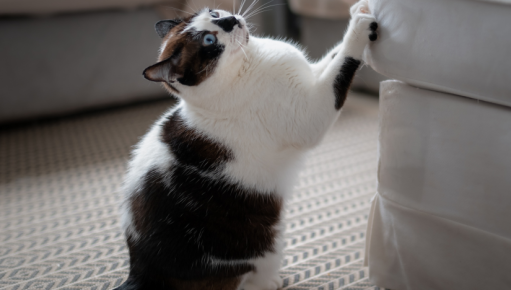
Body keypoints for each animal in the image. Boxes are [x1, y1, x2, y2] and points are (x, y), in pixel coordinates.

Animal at [116, 1, 378, 288]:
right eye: (209, 41)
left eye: (214, 14)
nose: (230, 20)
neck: (250, 60)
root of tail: (139, 270)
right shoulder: (310, 114)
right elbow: (342, 65)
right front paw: (359, 28)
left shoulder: (310, 75)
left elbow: (332, 56)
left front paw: (358, 11)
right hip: (261, 246)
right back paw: (272, 281)